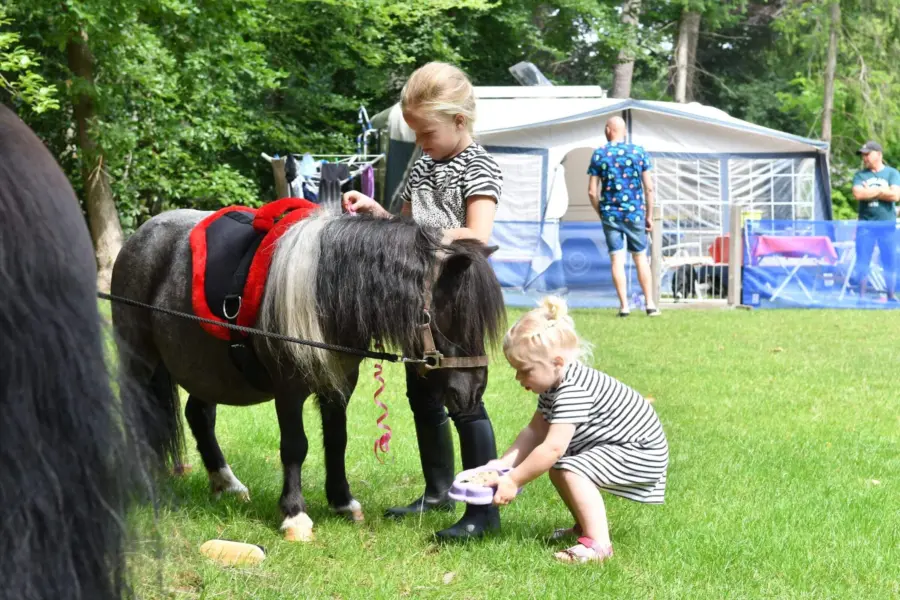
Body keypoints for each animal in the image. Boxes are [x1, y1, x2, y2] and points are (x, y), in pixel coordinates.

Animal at [110, 207, 506, 541]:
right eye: (453, 317)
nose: (473, 391)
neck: (323, 294)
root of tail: (139, 236)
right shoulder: (289, 389)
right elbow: (295, 446)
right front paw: (294, 514)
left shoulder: (339, 386)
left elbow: (337, 440)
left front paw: (342, 501)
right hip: (142, 362)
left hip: (204, 368)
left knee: (199, 415)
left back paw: (226, 482)